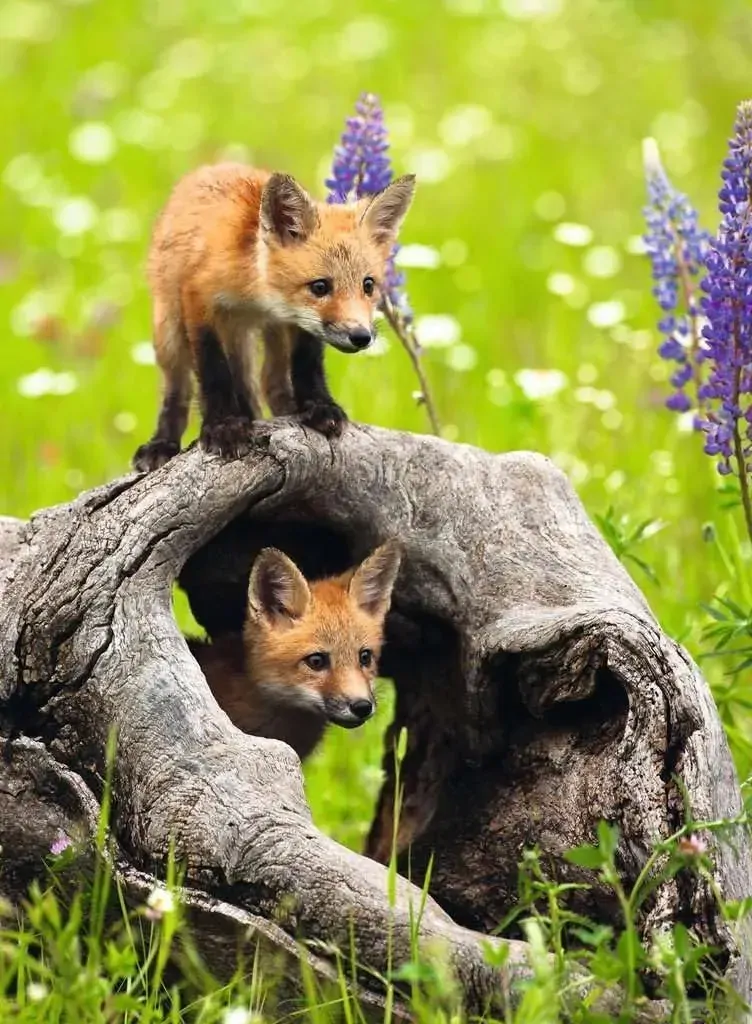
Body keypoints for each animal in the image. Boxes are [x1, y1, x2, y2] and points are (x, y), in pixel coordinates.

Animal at [133, 163, 416, 472]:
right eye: (320, 287)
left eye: (368, 285)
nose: (361, 336)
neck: (256, 292)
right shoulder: (198, 299)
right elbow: (214, 371)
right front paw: (224, 425)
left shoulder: (299, 324)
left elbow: (307, 365)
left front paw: (319, 406)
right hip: (170, 328)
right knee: (177, 389)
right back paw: (162, 443)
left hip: (271, 336)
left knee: (271, 382)